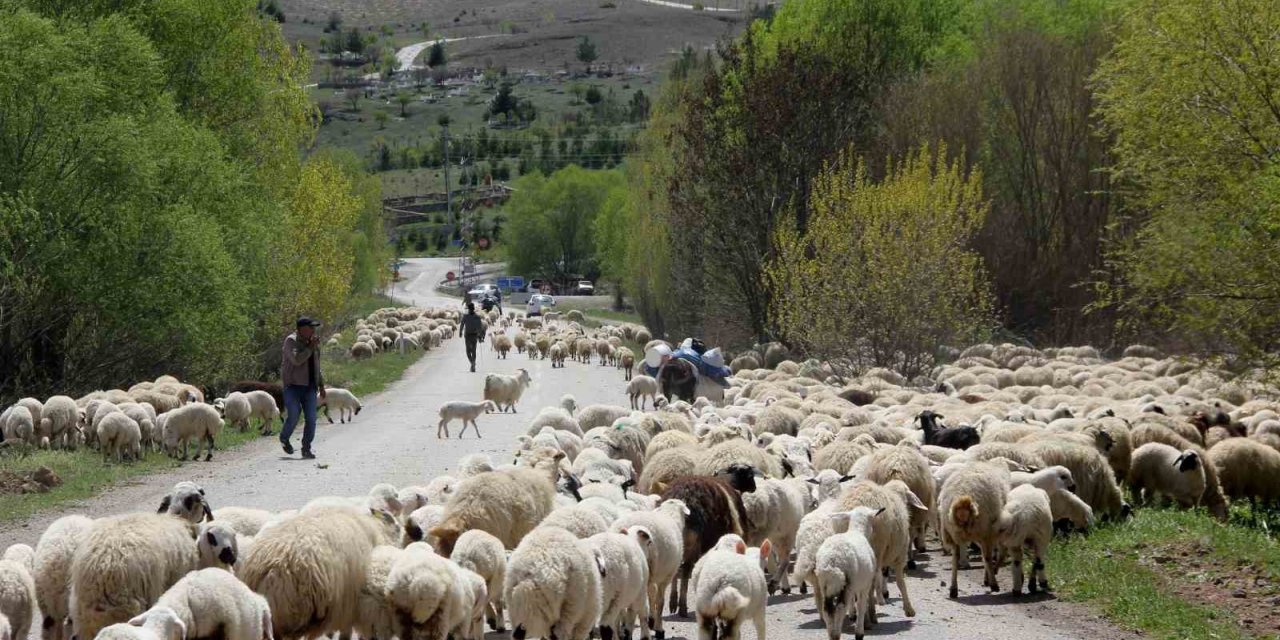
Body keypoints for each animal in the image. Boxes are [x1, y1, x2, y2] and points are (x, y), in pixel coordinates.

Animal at [819, 506, 880, 640]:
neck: (857, 531)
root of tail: (833, 561)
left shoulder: (857, 584)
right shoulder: (865, 585)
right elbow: (861, 605)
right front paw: (859, 632)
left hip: (825, 585)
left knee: (827, 609)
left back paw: (831, 634)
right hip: (847, 583)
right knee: (840, 608)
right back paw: (836, 635)